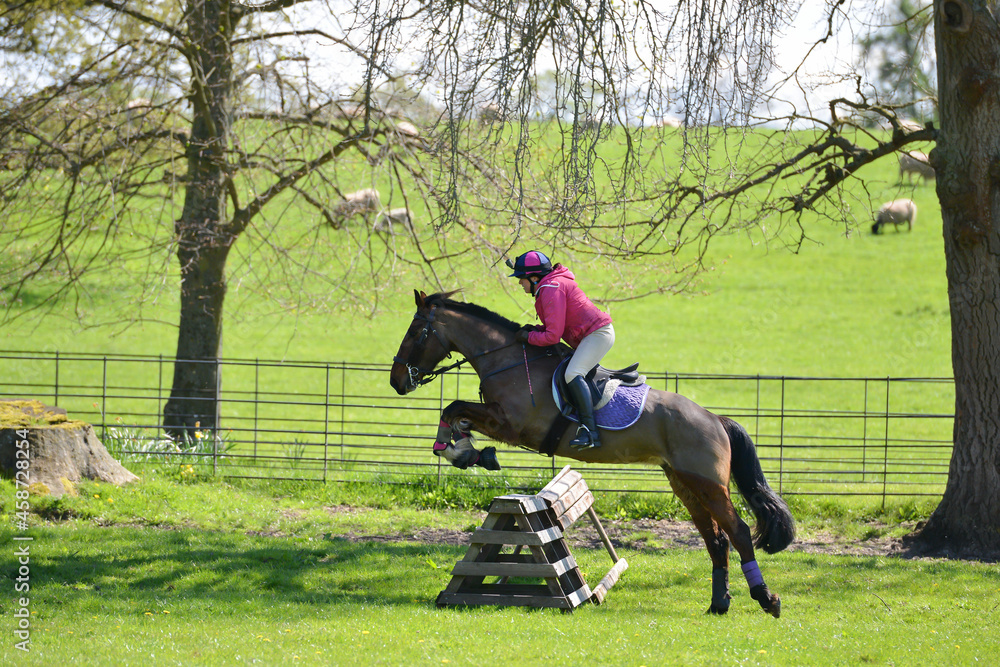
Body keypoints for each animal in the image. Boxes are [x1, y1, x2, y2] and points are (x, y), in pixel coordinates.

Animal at [390, 290, 795, 617]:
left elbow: (455, 408)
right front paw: (465, 453)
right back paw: (718, 603)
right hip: (684, 484)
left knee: (738, 532)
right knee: (717, 539)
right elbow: (453, 414)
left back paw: (765, 599)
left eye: (415, 332)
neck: (506, 358)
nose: (397, 381)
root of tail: (715, 419)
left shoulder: (511, 424)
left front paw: (467, 453)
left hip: (708, 483)